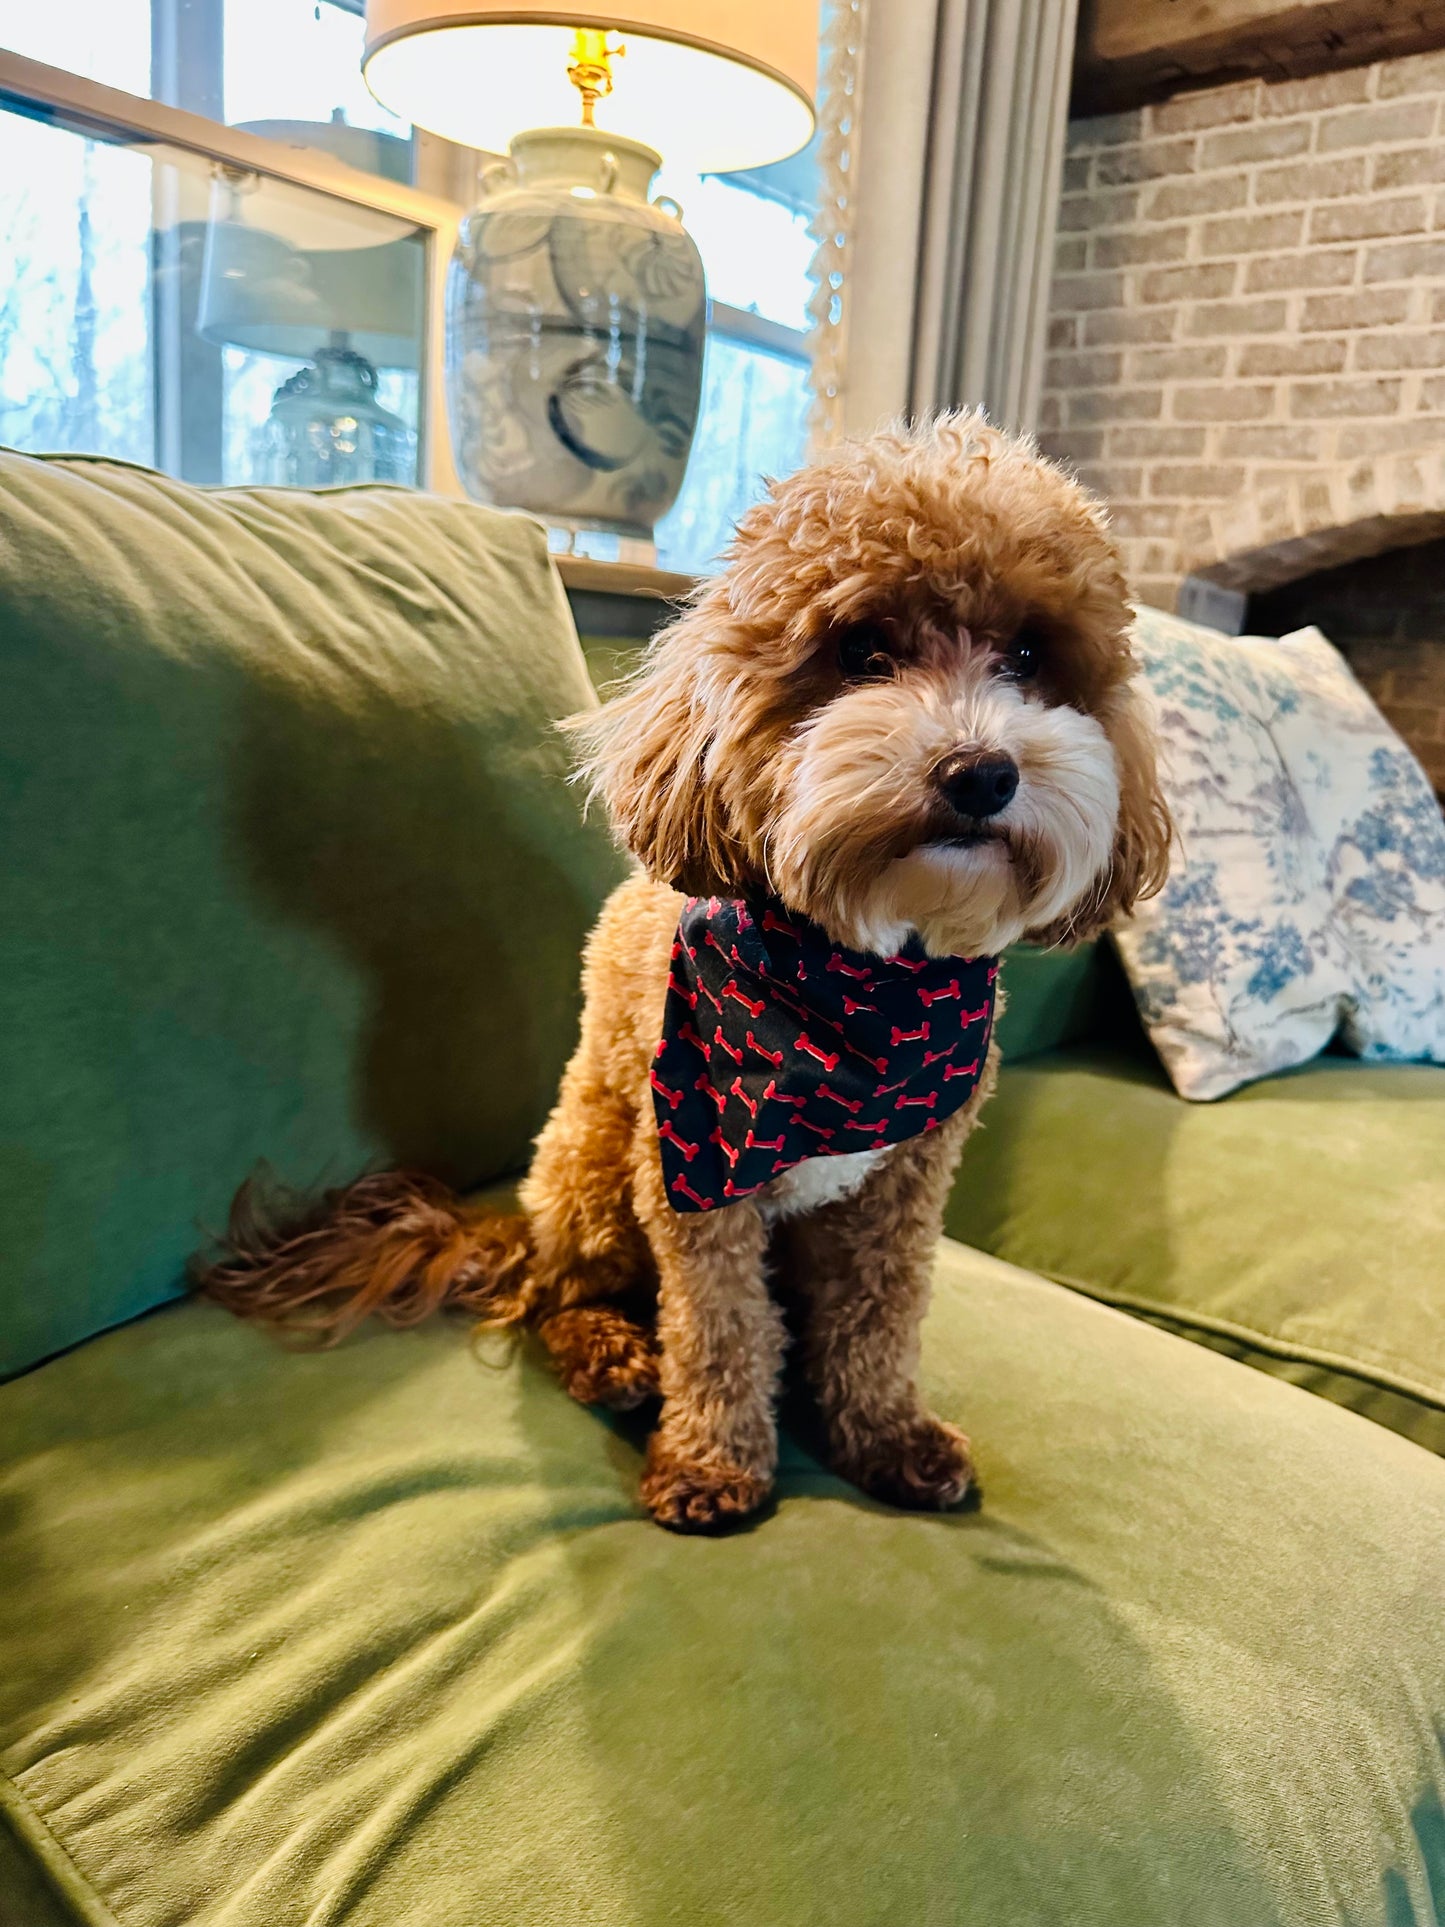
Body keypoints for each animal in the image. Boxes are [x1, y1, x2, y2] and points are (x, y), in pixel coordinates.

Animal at [198, 418, 1171, 1533]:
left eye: (1026, 655)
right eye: (861, 650)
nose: (980, 773)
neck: (860, 974)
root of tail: (515, 1227)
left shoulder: (902, 1186)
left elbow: (879, 1321)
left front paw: (885, 1436)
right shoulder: (693, 1177)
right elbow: (717, 1329)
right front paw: (713, 1463)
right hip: (589, 1170)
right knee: (555, 1300)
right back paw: (612, 1355)